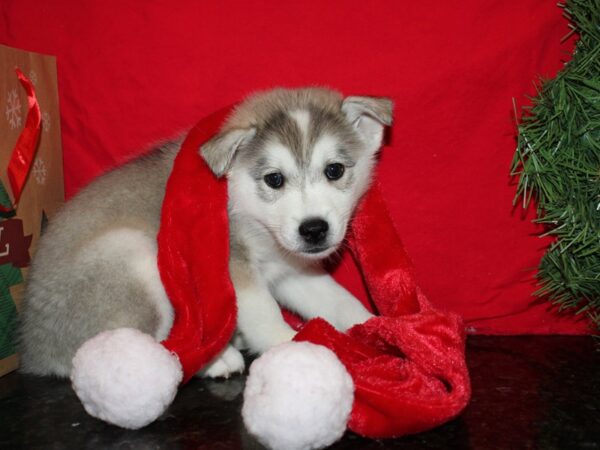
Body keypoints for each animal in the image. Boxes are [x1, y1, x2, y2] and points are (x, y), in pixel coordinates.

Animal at [18, 86, 394, 378]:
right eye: (274, 179)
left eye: (335, 170)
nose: (314, 229)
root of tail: (33, 349)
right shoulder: (234, 270)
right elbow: (266, 316)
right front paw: (292, 350)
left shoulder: (293, 271)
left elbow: (339, 301)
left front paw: (378, 329)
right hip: (136, 254)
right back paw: (214, 360)